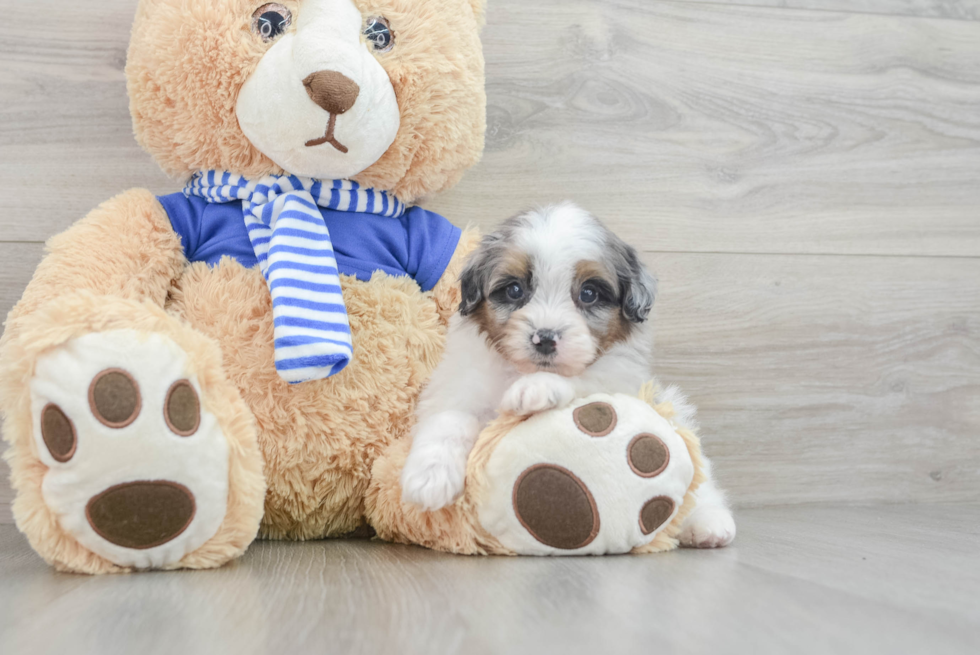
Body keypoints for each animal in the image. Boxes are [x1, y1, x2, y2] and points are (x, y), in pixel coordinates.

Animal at [400, 204, 736, 548]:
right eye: (514, 290)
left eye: (589, 293)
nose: (545, 338)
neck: (519, 371)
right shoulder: (457, 384)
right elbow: (450, 420)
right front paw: (430, 477)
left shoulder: (618, 380)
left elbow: (583, 380)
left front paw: (535, 389)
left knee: (700, 480)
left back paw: (708, 523)